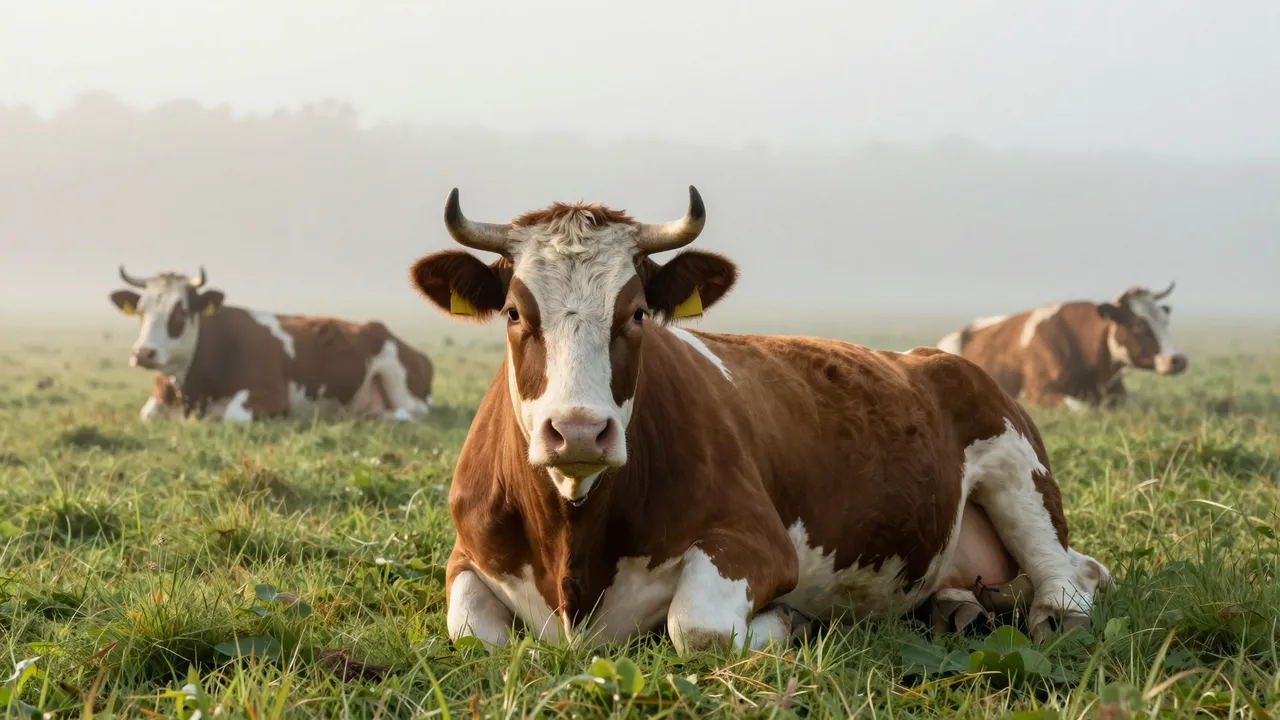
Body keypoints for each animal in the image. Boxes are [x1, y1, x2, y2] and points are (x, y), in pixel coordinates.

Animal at [109, 267, 434, 423]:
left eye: (180, 312)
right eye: (141, 311)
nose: (144, 353)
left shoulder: (272, 395)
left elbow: (232, 415)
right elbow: (148, 414)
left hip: (397, 378)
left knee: (410, 412)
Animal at [409, 186, 1110, 655]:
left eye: (636, 312)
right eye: (513, 313)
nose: (579, 431)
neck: (573, 548)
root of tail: (930, 355)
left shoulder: (758, 543)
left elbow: (697, 628)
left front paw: (789, 621)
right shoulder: (466, 556)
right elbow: (476, 635)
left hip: (1018, 469)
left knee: (1069, 577)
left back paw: (1053, 615)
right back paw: (955, 608)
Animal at [935, 284, 1187, 410]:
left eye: (1164, 321)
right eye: (1138, 325)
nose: (1178, 360)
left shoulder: (1118, 391)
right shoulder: (1036, 392)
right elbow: (1079, 409)